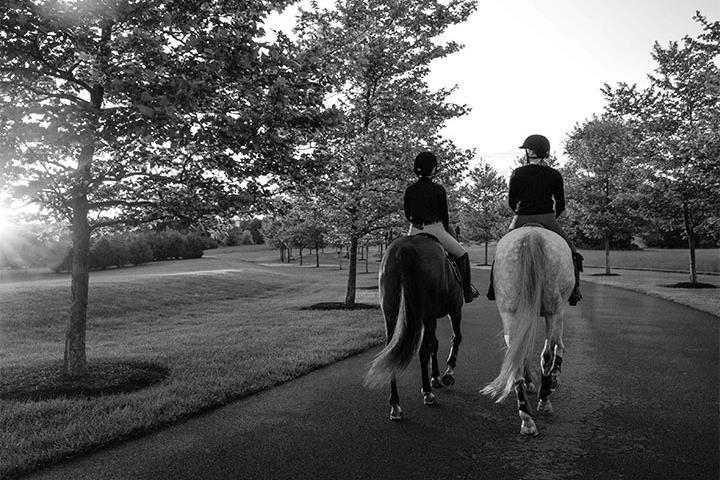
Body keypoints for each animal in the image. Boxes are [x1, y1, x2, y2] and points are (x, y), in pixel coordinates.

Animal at [368, 235, 464, 420]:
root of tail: (404, 250)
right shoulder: (454, 310)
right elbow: (455, 338)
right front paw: (448, 373)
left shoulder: (430, 319)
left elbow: (435, 344)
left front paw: (436, 377)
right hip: (430, 314)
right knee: (423, 350)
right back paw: (427, 393)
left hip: (391, 316)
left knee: (391, 350)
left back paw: (395, 404)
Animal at [480, 225, 576, 436]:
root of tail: (531, 235)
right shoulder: (557, 312)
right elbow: (557, 348)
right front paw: (550, 383)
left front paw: (531, 382)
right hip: (553, 310)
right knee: (548, 353)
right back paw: (544, 397)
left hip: (510, 312)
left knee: (514, 354)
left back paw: (526, 417)